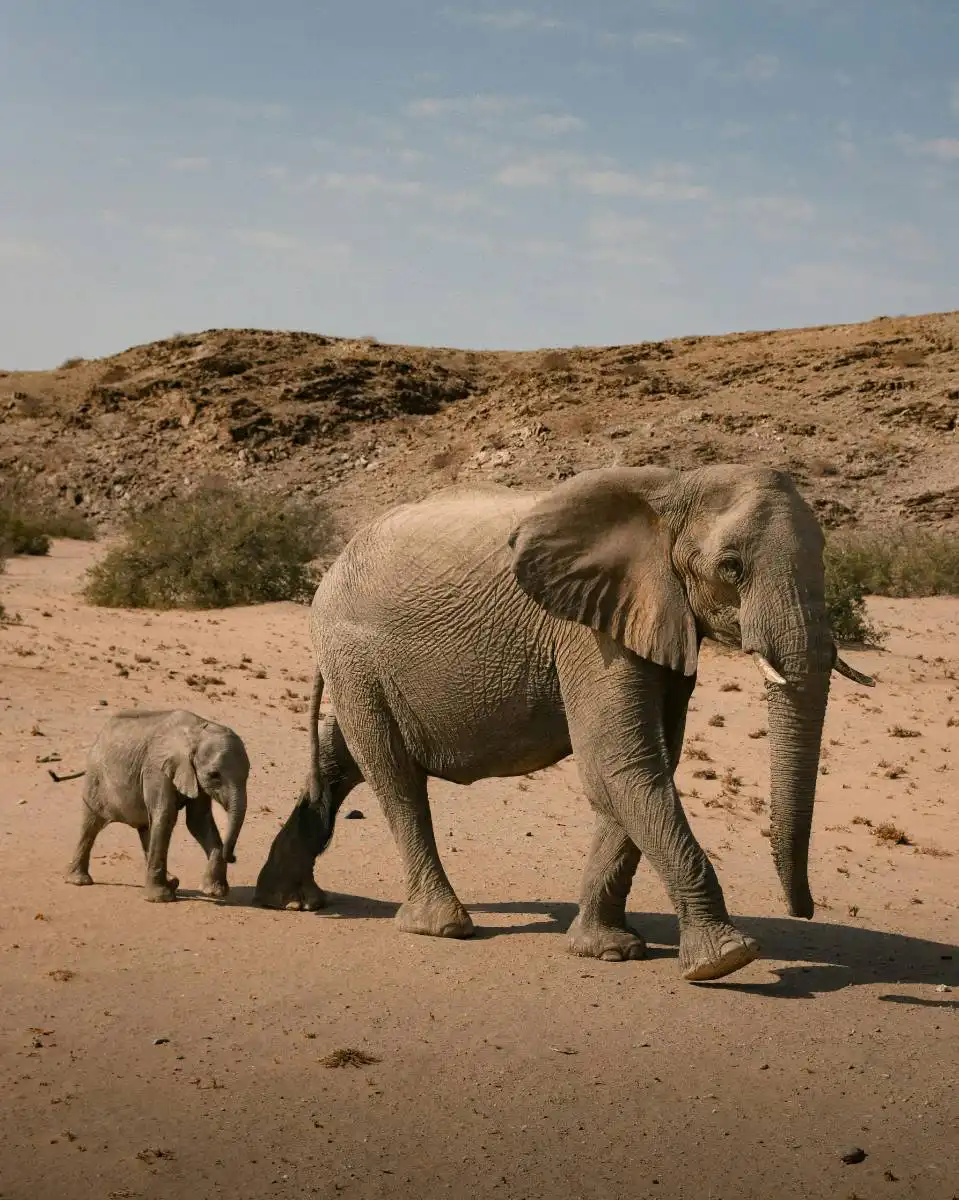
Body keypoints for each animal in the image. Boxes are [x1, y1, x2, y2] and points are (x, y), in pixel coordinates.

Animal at [64, 709, 249, 902]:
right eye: (214, 775)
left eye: (248, 774)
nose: (233, 857)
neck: (196, 732)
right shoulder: (157, 769)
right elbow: (165, 815)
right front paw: (160, 898)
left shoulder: (193, 776)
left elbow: (198, 821)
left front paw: (214, 892)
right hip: (96, 780)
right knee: (91, 825)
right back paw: (79, 881)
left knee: (146, 827)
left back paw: (172, 881)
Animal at [253, 465, 874, 981]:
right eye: (731, 568)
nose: (804, 910)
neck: (671, 490)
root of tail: (334, 563)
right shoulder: (586, 630)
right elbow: (620, 763)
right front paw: (726, 960)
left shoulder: (655, 616)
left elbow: (643, 766)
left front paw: (607, 951)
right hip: (353, 651)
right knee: (393, 774)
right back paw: (441, 926)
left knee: (342, 762)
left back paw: (288, 899)